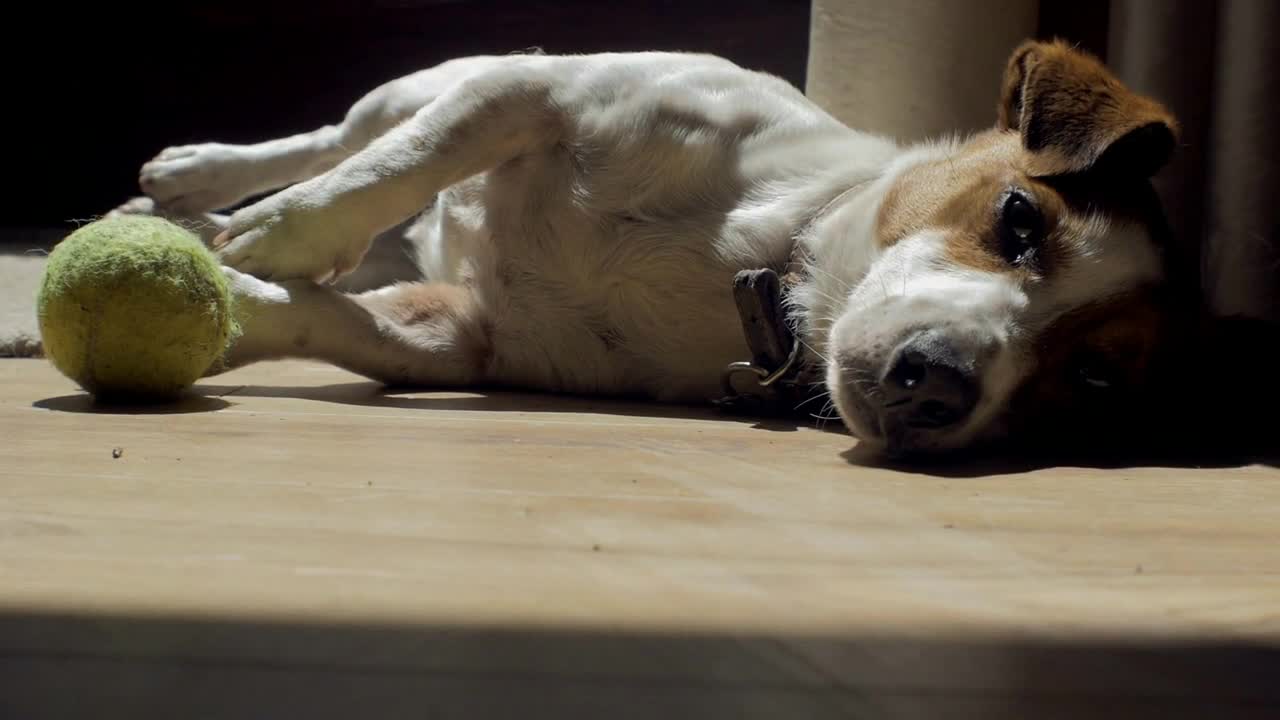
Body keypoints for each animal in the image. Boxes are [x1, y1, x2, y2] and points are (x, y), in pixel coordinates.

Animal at [117, 40, 1259, 453]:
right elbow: (377, 174)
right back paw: (199, 183)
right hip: (446, 76)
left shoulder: (460, 339)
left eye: (1095, 382)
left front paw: (221, 304)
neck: (772, 256)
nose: (936, 384)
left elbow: (308, 316)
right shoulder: (534, 94)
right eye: (1019, 220)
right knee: (344, 137)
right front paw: (272, 238)